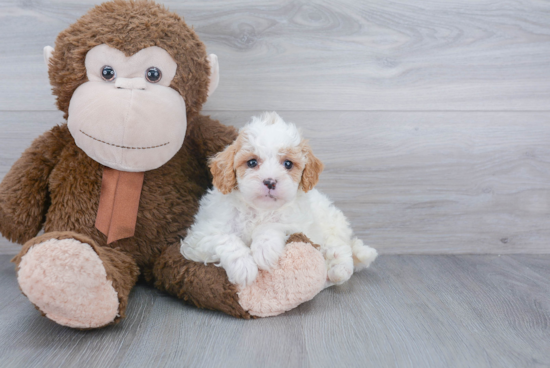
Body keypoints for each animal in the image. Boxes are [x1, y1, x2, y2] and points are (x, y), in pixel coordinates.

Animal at [181, 112, 380, 288]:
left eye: (288, 164)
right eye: (252, 162)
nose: (270, 181)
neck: (259, 210)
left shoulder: (299, 225)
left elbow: (273, 225)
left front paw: (264, 250)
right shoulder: (198, 238)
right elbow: (225, 238)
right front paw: (243, 267)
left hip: (330, 225)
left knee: (340, 248)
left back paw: (339, 270)